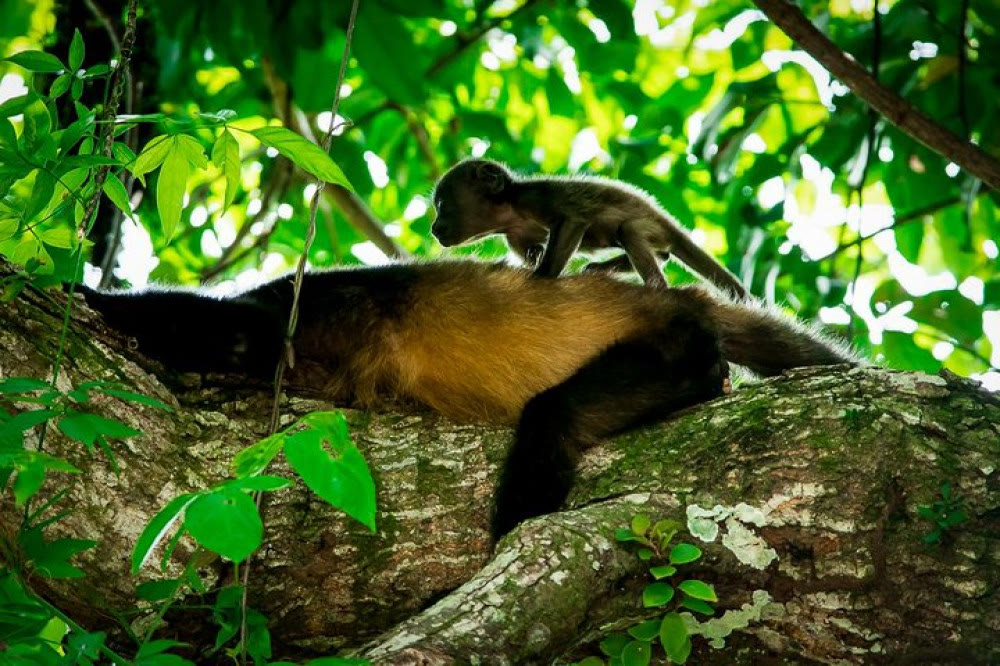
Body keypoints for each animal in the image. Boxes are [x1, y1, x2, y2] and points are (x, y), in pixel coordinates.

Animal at [79, 261, 856, 537]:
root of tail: (681, 301)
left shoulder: (322, 305)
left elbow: (244, 337)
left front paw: (85, 296)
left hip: (669, 344)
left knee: (554, 416)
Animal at [430, 159, 749, 299]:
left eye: (442, 205)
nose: (433, 228)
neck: (510, 212)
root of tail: (665, 220)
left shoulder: (535, 197)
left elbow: (571, 220)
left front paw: (542, 276)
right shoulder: (514, 236)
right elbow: (532, 250)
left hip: (650, 225)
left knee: (629, 231)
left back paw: (655, 287)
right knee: (661, 254)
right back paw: (600, 269)